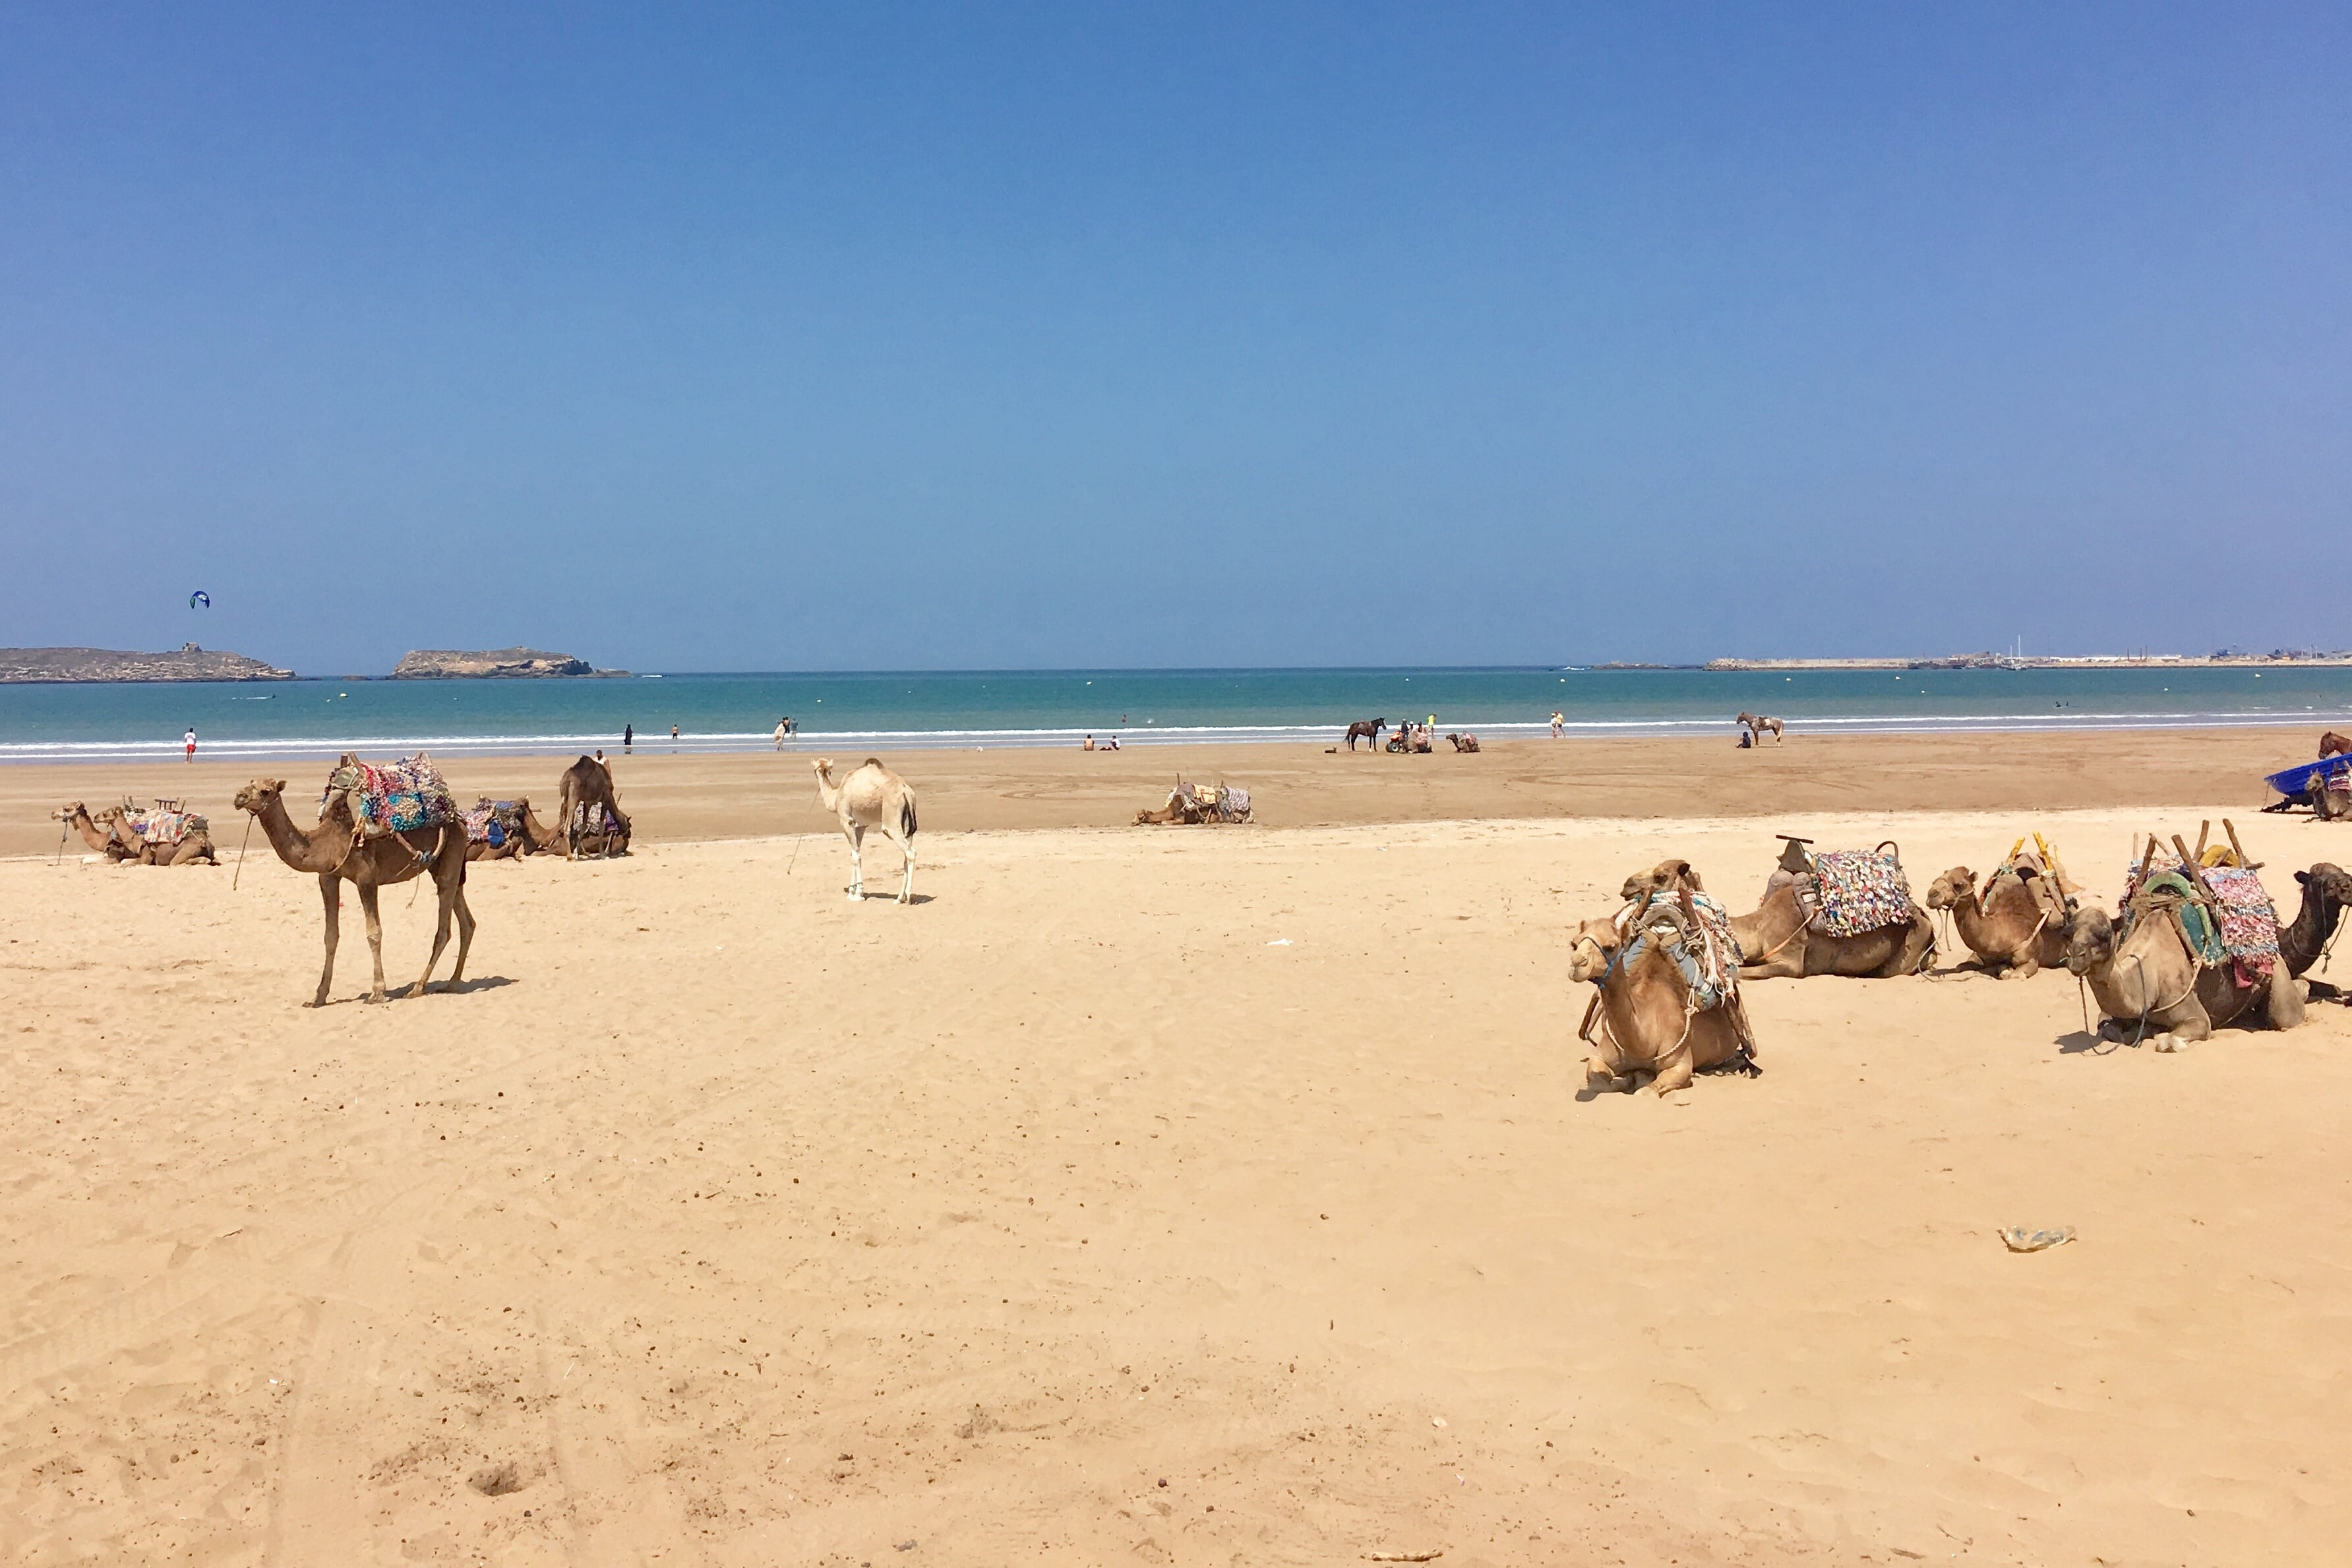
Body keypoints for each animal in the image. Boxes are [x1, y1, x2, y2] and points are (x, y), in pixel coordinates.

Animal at [233, 777, 474, 1006]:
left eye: (266, 791)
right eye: (250, 783)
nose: (239, 797)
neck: (326, 842)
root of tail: (459, 820)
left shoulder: (366, 877)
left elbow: (374, 933)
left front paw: (377, 992)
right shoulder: (328, 877)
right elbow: (330, 936)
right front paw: (318, 997)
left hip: (452, 851)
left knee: (444, 926)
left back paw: (417, 988)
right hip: (440, 863)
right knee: (466, 920)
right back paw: (452, 982)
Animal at [813, 757, 918, 902]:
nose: (819, 773)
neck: (837, 795)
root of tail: (906, 791)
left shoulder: (847, 821)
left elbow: (856, 856)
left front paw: (858, 894)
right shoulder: (860, 826)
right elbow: (854, 853)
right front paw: (852, 892)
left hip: (891, 820)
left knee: (910, 852)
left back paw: (907, 896)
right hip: (907, 824)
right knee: (907, 854)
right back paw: (899, 898)